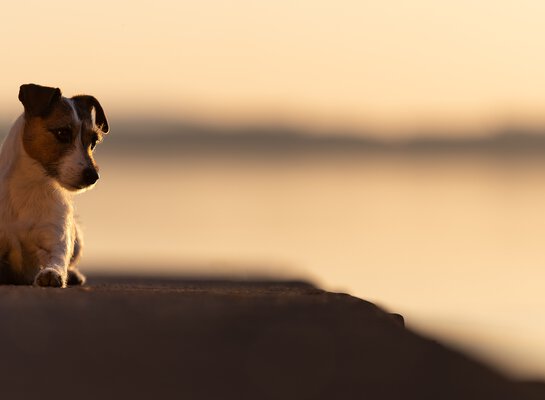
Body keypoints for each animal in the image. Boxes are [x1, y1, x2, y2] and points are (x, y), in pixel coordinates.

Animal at [0, 83, 109, 286]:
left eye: (94, 141)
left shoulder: (56, 240)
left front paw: (52, 273)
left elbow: (56, 261)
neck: (30, 186)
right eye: (62, 133)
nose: (93, 176)